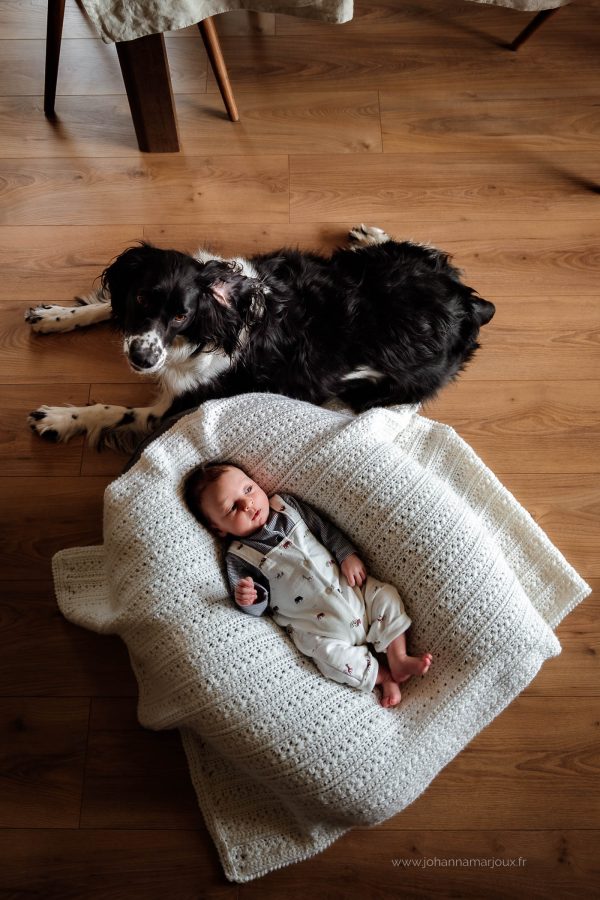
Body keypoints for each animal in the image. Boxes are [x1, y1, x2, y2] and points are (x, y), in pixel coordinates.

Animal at [25, 225, 494, 450]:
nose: (142, 358)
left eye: (181, 315)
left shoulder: (171, 409)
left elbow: (111, 410)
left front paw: (61, 418)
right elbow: (107, 304)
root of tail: (469, 307)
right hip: (371, 265)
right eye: (142, 297)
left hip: (378, 390)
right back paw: (369, 235)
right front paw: (57, 316)